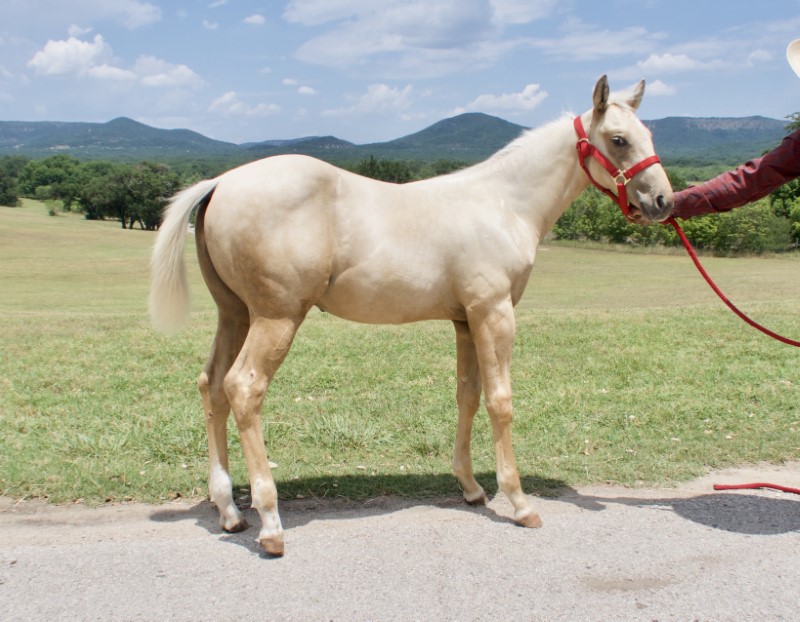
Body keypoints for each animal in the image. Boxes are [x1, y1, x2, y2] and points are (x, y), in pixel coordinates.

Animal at [152, 75, 676, 560]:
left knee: (212, 385)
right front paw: (520, 502)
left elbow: (468, 396)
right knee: (244, 387)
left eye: (647, 133)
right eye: (619, 139)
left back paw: (229, 510)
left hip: (235, 315)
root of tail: (221, 182)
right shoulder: (494, 314)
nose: (663, 202)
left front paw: (471, 488)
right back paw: (270, 523)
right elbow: (500, 401)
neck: (504, 203)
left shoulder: (466, 321)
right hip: (275, 319)